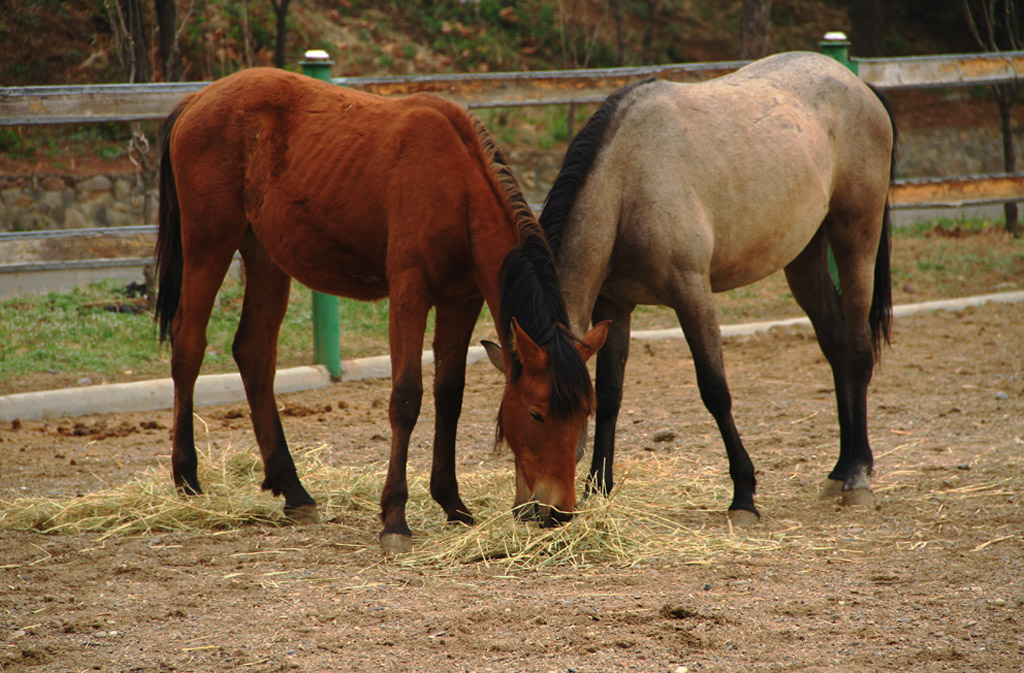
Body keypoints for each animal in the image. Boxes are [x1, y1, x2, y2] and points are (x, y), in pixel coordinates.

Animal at [155, 67, 606, 553]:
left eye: (584, 414)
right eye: (537, 414)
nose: (558, 512)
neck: (456, 187)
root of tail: (199, 99)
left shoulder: (460, 302)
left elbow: (450, 396)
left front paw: (453, 504)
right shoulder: (409, 294)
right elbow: (407, 398)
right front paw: (395, 517)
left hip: (265, 255)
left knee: (254, 352)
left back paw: (293, 490)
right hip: (209, 245)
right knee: (188, 345)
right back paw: (187, 478)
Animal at [540, 53, 892, 524]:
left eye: (543, 415)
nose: (539, 509)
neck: (629, 179)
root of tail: (857, 85)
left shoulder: (692, 295)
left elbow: (715, 390)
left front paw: (743, 495)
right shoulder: (616, 305)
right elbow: (611, 395)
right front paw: (599, 487)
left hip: (856, 236)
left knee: (855, 349)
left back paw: (857, 476)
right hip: (803, 256)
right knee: (836, 348)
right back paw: (840, 469)